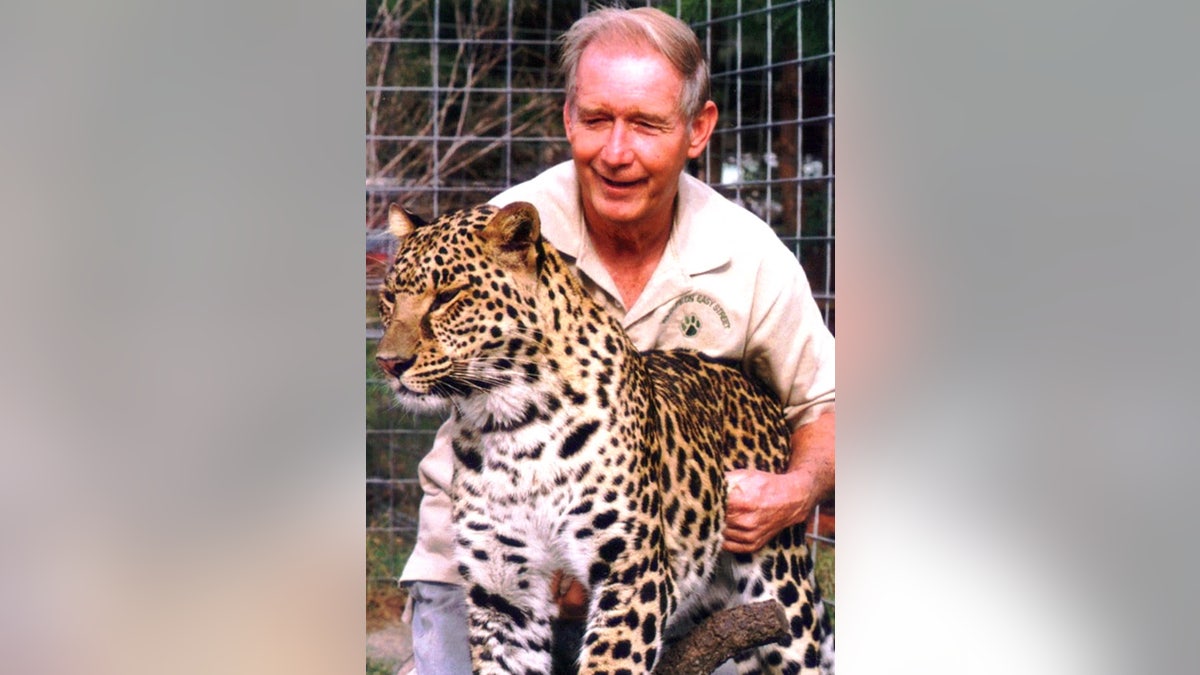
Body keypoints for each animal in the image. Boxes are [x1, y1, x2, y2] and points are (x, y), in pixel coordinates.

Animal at [376, 200, 835, 672]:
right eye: (389, 297)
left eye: (447, 297)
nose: (389, 363)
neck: (508, 422)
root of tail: (754, 386)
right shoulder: (503, 594)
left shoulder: (633, 571)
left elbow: (612, 660)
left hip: (782, 591)